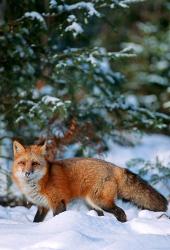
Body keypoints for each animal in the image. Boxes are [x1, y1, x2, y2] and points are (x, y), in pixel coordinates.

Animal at [11, 141, 167, 223]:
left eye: (35, 163)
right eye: (23, 163)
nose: (27, 173)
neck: (43, 180)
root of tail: (113, 166)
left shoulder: (58, 202)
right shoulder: (42, 206)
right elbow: (36, 220)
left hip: (100, 201)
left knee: (121, 212)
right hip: (91, 204)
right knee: (102, 214)